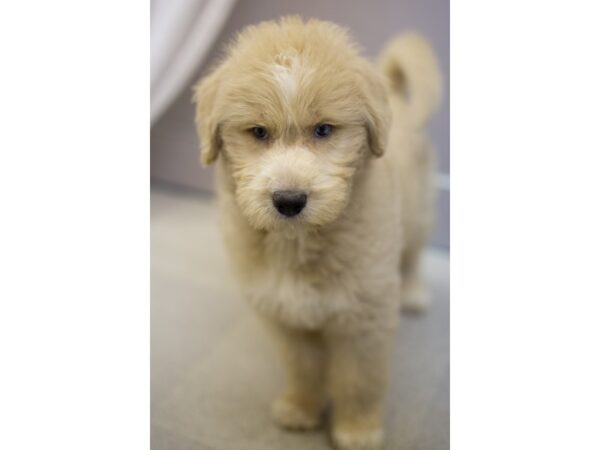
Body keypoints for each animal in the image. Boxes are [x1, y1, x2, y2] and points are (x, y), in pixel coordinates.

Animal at [192, 15, 440, 450]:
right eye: (258, 132)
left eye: (324, 130)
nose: (289, 200)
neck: (298, 243)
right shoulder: (285, 316)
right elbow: (303, 367)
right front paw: (301, 407)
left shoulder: (364, 317)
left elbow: (358, 379)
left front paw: (357, 428)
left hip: (419, 211)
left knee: (412, 254)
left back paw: (412, 292)